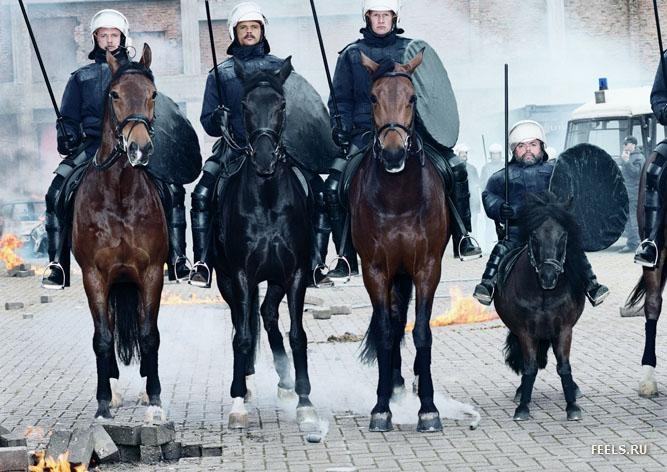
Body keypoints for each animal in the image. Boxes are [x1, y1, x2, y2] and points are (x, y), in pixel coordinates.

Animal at [70, 45, 168, 420]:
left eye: (153, 94)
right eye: (114, 94)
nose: (139, 148)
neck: (120, 191)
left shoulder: (152, 272)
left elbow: (149, 335)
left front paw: (154, 400)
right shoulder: (94, 276)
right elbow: (102, 338)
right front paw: (102, 405)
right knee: (109, 330)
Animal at [214, 57, 318, 430]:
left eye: (281, 104)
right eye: (244, 105)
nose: (263, 161)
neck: (268, 199)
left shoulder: (295, 272)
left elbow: (297, 335)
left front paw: (305, 401)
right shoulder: (241, 275)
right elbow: (244, 336)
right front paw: (237, 403)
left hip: (274, 279)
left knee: (269, 316)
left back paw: (286, 383)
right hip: (228, 281)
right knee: (241, 324)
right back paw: (242, 385)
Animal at [350, 50, 454, 432]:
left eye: (412, 98)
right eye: (372, 97)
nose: (393, 154)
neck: (397, 198)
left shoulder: (427, 267)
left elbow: (422, 331)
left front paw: (429, 408)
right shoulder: (376, 269)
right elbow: (384, 330)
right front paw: (381, 407)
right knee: (394, 322)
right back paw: (393, 384)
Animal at [498, 194, 588, 422]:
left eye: (563, 236)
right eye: (534, 237)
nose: (549, 276)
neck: (544, 294)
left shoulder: (564, 329)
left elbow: (563, 366)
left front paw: (572, 407)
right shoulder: (524, 331)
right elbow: (529, 367)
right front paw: (523, 407)